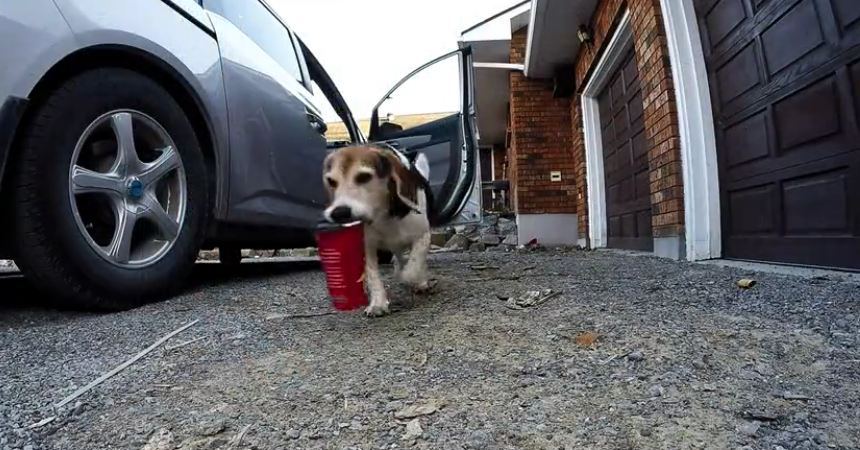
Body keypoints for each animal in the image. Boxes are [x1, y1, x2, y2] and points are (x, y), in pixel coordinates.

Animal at [320, 144, 434, 316]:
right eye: (331, 181)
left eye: (364, 177)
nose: (339, 213)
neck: (383, 214)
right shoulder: (368, 247)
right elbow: (373, 276)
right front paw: (378, 303)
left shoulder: (423, 236)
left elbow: (413, 268)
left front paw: (414, 279)